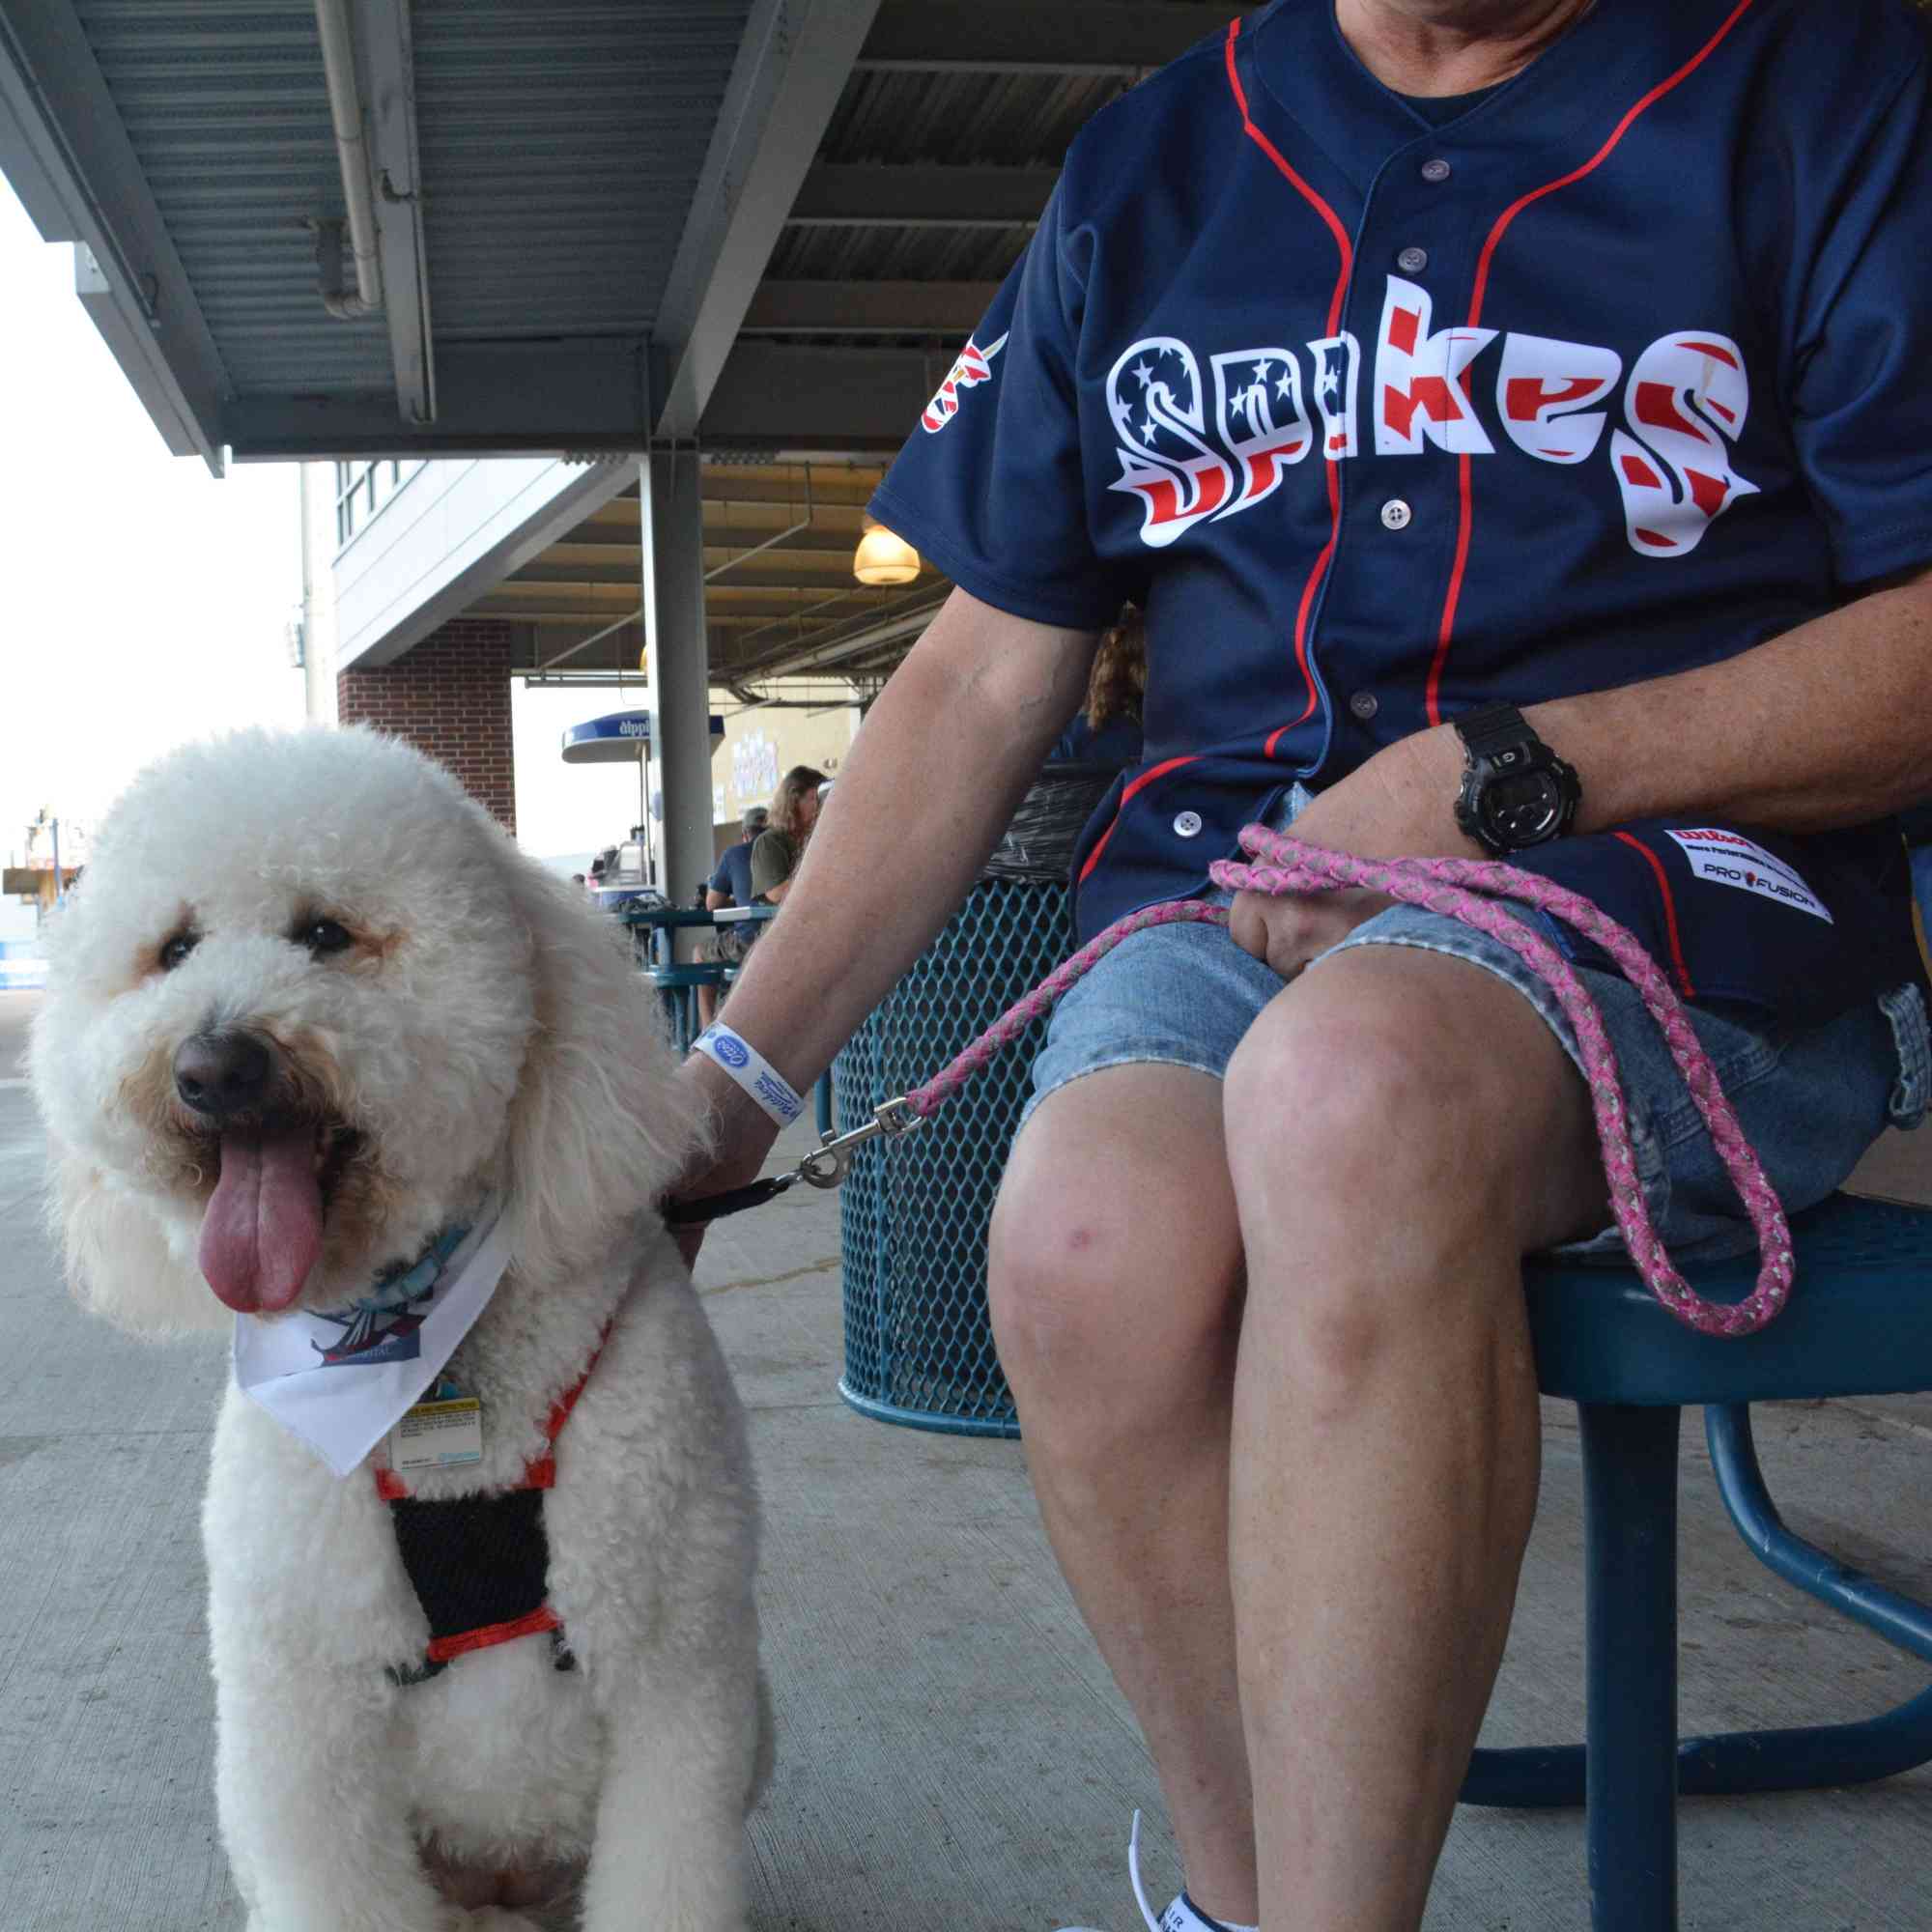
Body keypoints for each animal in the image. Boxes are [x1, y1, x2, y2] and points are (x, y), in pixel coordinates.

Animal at [28, 726, 769, 1932]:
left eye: (325, 932)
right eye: (173, 948)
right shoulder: (301, 1704)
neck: (426, 1354)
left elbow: (665, 1863)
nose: (211, 1066)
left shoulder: (677, 1669)